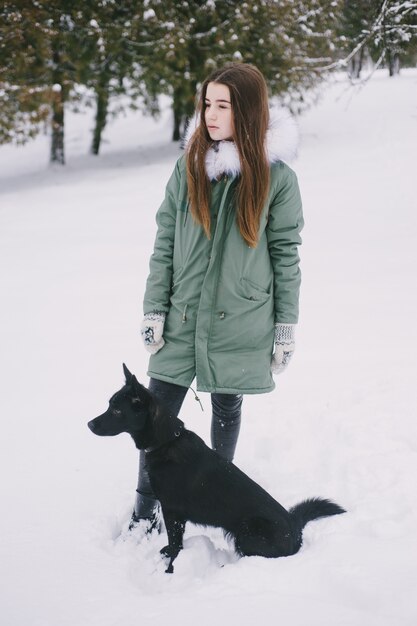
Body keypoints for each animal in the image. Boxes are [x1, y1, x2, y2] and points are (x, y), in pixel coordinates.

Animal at [88, 364, 344, 572]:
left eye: (117, 410)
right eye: (109, 404)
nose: (89, 424)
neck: (167, 441)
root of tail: (295, 527)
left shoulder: (173, 512)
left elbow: (175, 543)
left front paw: (170, 569)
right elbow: (173, 543)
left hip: (247, 533)